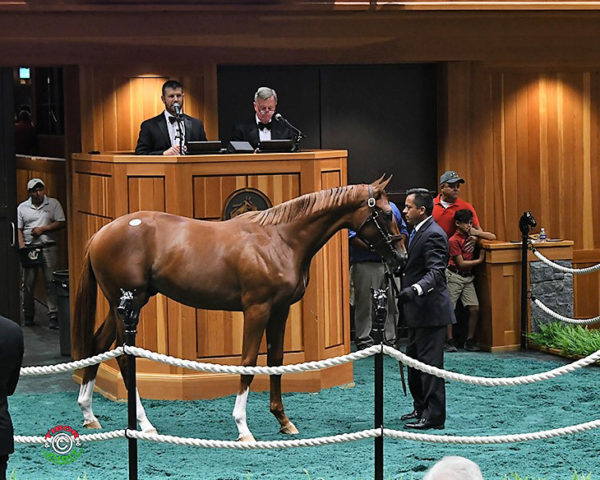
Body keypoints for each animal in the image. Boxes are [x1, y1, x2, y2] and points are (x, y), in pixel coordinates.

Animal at [72, 175, 406, 438]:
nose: (401, 258)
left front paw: (283, 421)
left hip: (121, 304)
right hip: (130, 304)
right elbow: (248, 362)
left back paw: (89, 414)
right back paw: (144, 423)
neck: (280, 239)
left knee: (98, 344)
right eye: (385, 213)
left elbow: (276, 360)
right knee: (122, 355)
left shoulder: (280, 310)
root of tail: (101, 233)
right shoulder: (257, 310)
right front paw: (243, 427)